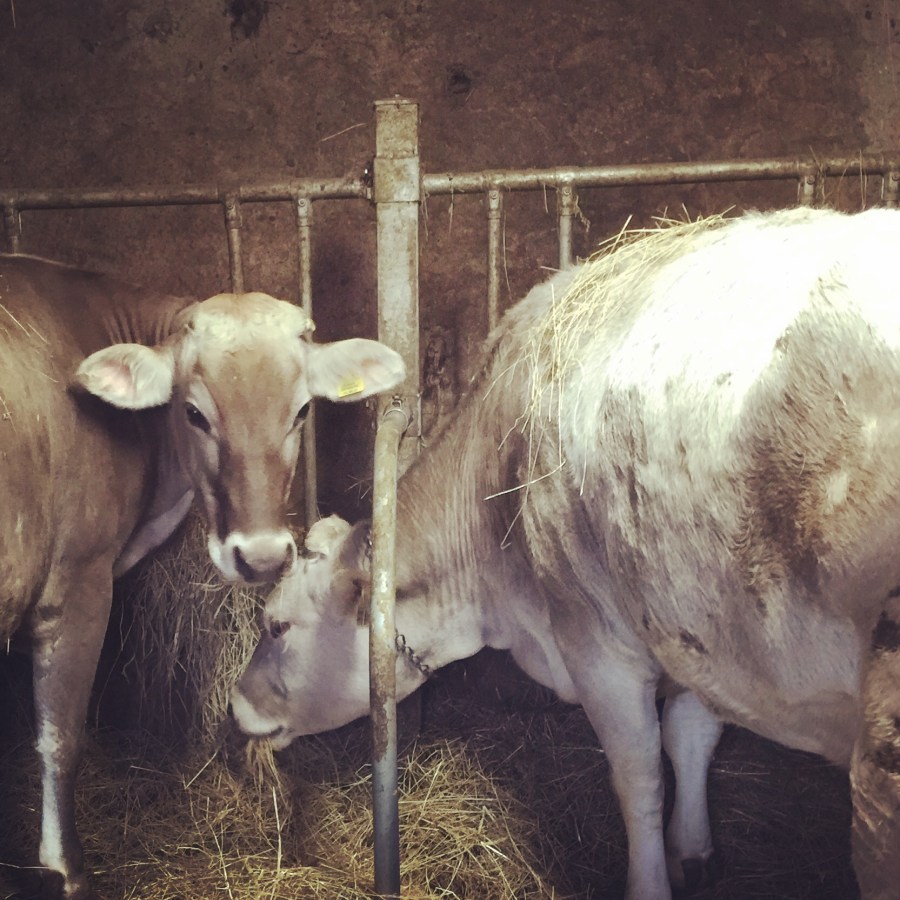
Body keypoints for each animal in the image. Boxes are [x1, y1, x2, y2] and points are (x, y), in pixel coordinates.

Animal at [0, 252, 404, 899]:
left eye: (302, 410)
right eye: (193, 414)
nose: (261, 558)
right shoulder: (78, 582)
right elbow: (60, 736)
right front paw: (66, 871)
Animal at [230, 205, 900, 899]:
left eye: (276, 624)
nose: (235, 708)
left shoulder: (596, 641)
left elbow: (639, 776)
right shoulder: (693, 628)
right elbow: (692, 736)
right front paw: (693, 852)